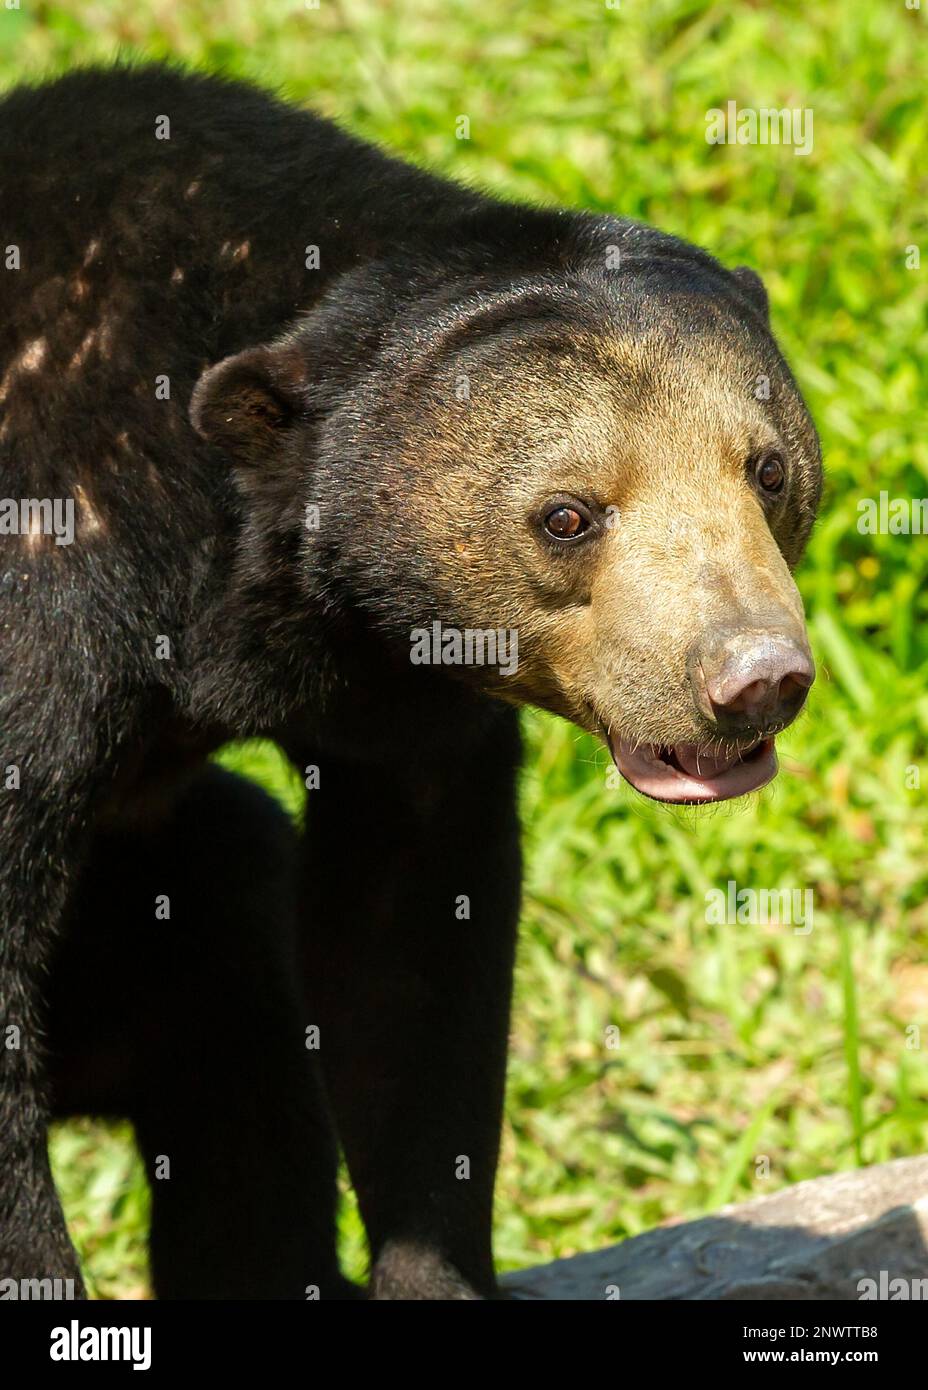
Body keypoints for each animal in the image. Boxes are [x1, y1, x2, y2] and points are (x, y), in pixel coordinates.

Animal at [0, 62, 821, 1299]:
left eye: (767, 471)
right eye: (567, 515)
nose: (753, 677)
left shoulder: (390, 672)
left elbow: (410, 925)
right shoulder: (40, 582)